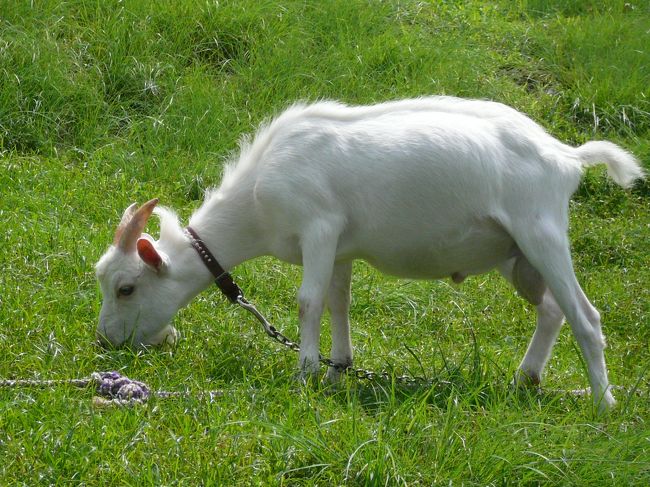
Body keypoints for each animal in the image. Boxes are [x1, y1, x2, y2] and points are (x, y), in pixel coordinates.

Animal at [96, 96, 644, 412]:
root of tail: (566, 157)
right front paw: (337, 368)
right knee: (551, 309)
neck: (255, 198)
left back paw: (604, 404)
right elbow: (337, 302)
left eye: (126, 287)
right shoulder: (340, 249)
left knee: (585, 316)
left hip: (541, 231)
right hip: (518, 254)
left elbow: (308, 302)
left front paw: (304, 375)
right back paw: (526, 378)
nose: (105, 343)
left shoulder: (318, 228)